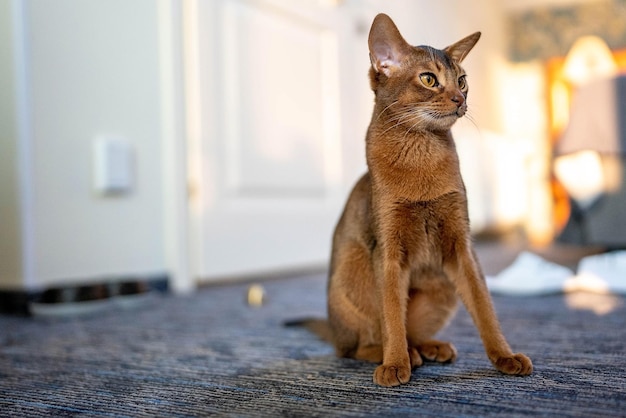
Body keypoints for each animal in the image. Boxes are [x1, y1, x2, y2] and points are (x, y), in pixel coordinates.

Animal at [298, 13, 532, 386]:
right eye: (429, 79)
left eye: (462, 80)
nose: (460, 99)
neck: (421, 156)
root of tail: (334, 332)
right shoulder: (388, 251)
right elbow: (392, 315)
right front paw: (395, 364)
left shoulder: (462, 246)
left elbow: (484, 306)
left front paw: (504, 356)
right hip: (354, 268)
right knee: (352, 348)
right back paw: (399, 354)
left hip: (442, 286)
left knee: (411, 333)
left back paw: (430, 348)